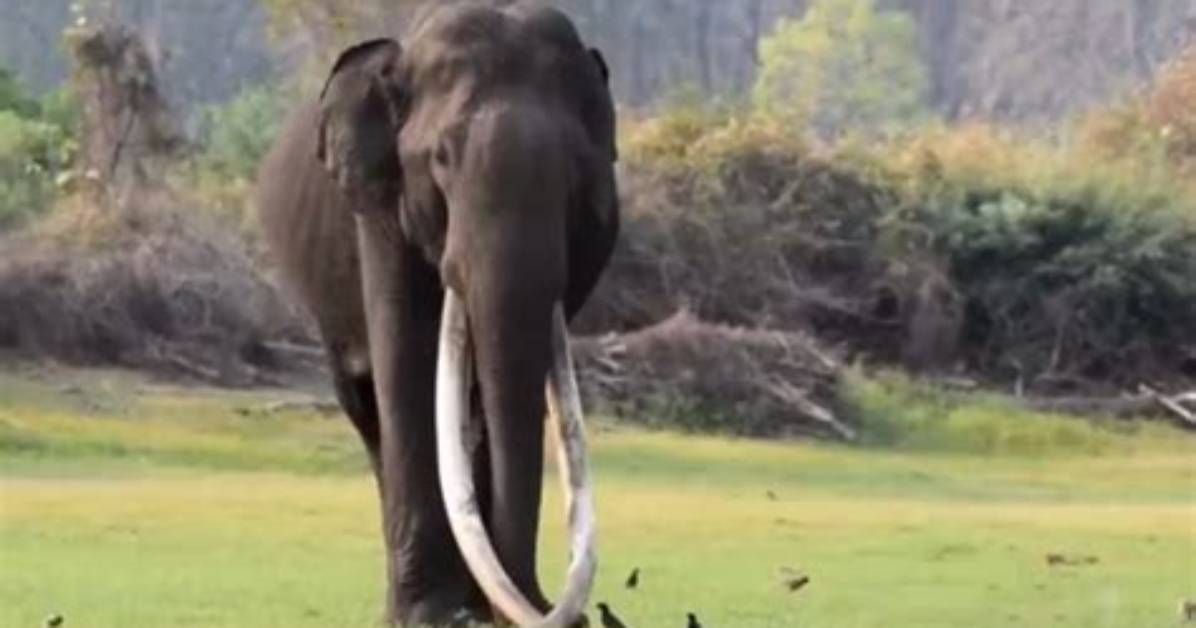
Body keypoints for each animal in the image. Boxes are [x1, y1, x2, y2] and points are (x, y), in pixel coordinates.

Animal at [255, 3, 618, 627]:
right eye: (441, 160)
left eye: (577, 174)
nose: (550, 608)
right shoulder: (379, 203)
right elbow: (410, 360)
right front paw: (436, 616)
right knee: (369, 407)